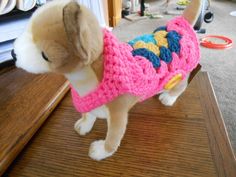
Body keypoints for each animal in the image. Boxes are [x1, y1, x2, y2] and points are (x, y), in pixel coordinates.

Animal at [12, 0, 201, 160]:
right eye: (26, 28)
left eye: (45, 55)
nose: (13, 53)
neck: (84, 82)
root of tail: (178, 27)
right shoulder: (88, 102)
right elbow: (88, 115)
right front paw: (84, 125)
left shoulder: (118, 116)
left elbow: (112, 138)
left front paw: (102, 151)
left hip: (181, 75)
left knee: (180, 87)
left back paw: (168, 97)